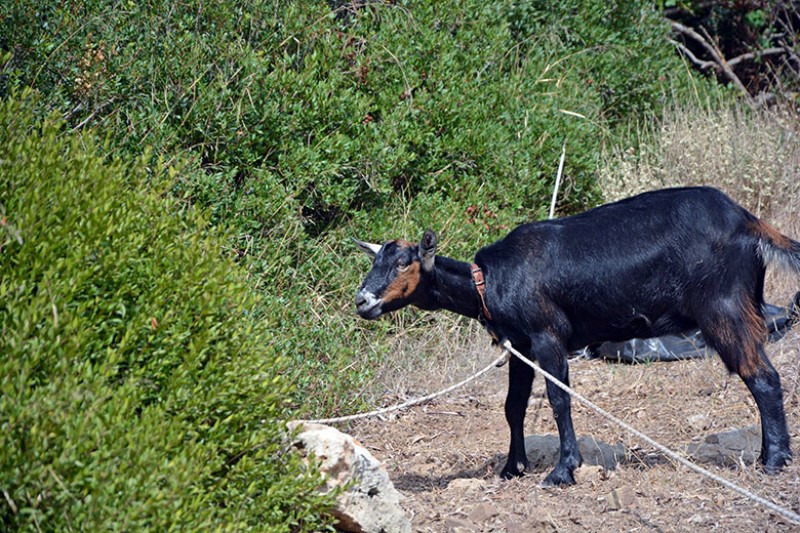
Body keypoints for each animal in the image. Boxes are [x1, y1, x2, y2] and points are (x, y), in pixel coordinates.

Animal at [356, 187, 800, 486]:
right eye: (376, 261)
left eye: (403, 263)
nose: (362, 301)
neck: (489, 281)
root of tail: (748, 221)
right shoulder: (520, 346)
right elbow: (513, 406)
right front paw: (512, 467)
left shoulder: (547, 335)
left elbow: (558, 399)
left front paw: (563, 469)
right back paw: (768, 452)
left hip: (723, 307)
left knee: (762, 376)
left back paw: (775, 460)